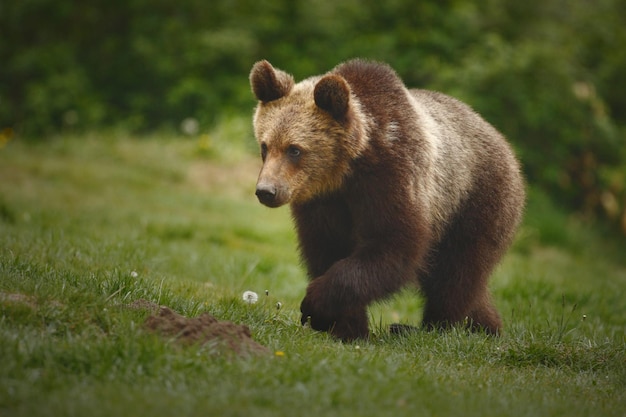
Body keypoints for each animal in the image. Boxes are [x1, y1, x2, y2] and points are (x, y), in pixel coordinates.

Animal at [246, 58, 524, 340]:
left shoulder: (393, 177)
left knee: (457, 270)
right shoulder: (322, 202)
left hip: (473, 199)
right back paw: (485, 326)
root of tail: (503, 142)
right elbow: (327, 248)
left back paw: (428, 327)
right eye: (265, 146)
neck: (347, 170)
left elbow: (393, 244)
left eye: (295, 149)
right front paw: (346, 326)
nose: (266, 190)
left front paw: (315, 306)